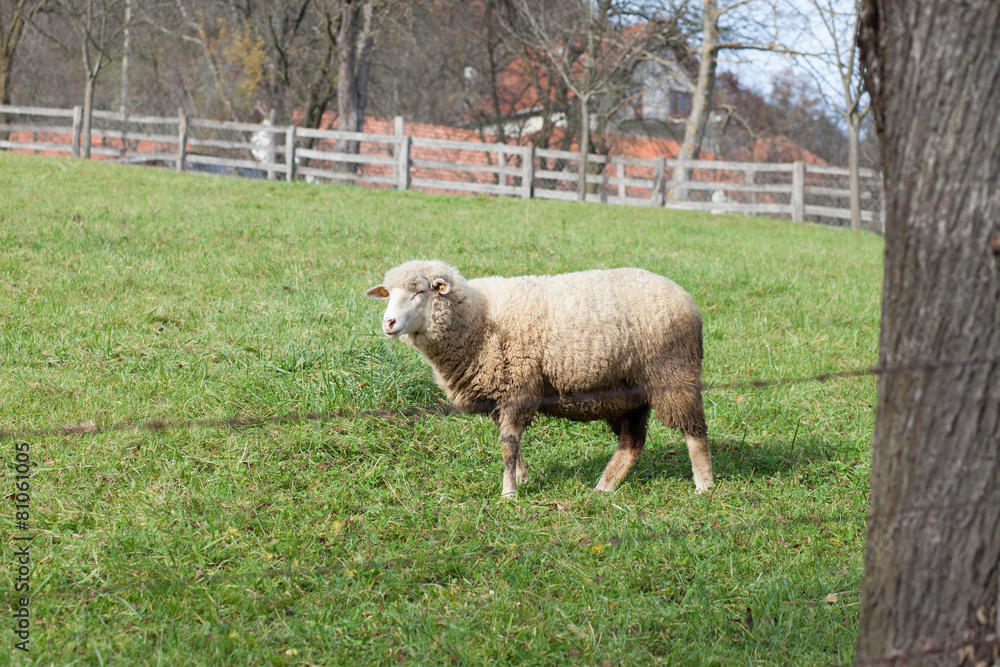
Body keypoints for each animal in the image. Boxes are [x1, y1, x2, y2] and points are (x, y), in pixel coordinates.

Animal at [366, 258, 712, 498]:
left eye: (420, 291)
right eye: (388, 294)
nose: (388, 323)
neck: (478, 318)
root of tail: (689, 301)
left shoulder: (517, 387)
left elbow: (508, 444)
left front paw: (509, 493)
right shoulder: (501, 395)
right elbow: (512, 443)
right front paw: (522, 479)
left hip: (673, 373)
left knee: (694, 430)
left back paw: (704, 485)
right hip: (628, 392)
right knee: (632, 442)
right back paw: (604, 487)